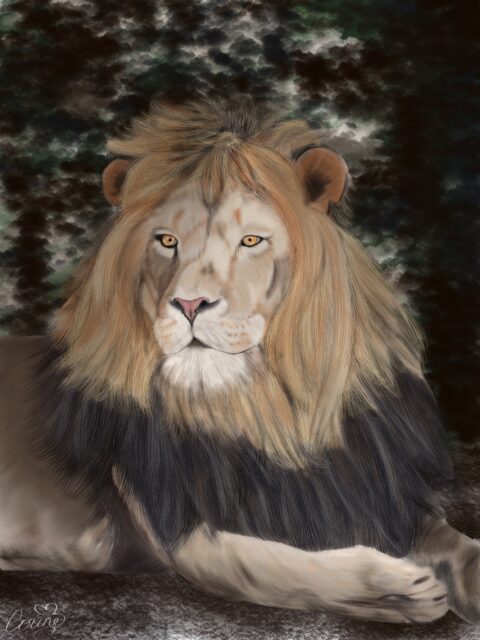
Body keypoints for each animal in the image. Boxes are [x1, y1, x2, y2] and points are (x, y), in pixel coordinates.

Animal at [0, 97, 478, 624]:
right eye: (166, 241)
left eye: (250, 241)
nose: (189, 304)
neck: (263, 413)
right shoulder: (182, 537)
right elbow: (270, 565)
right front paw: (401, 590)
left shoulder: (374, 496)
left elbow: (456, 543)